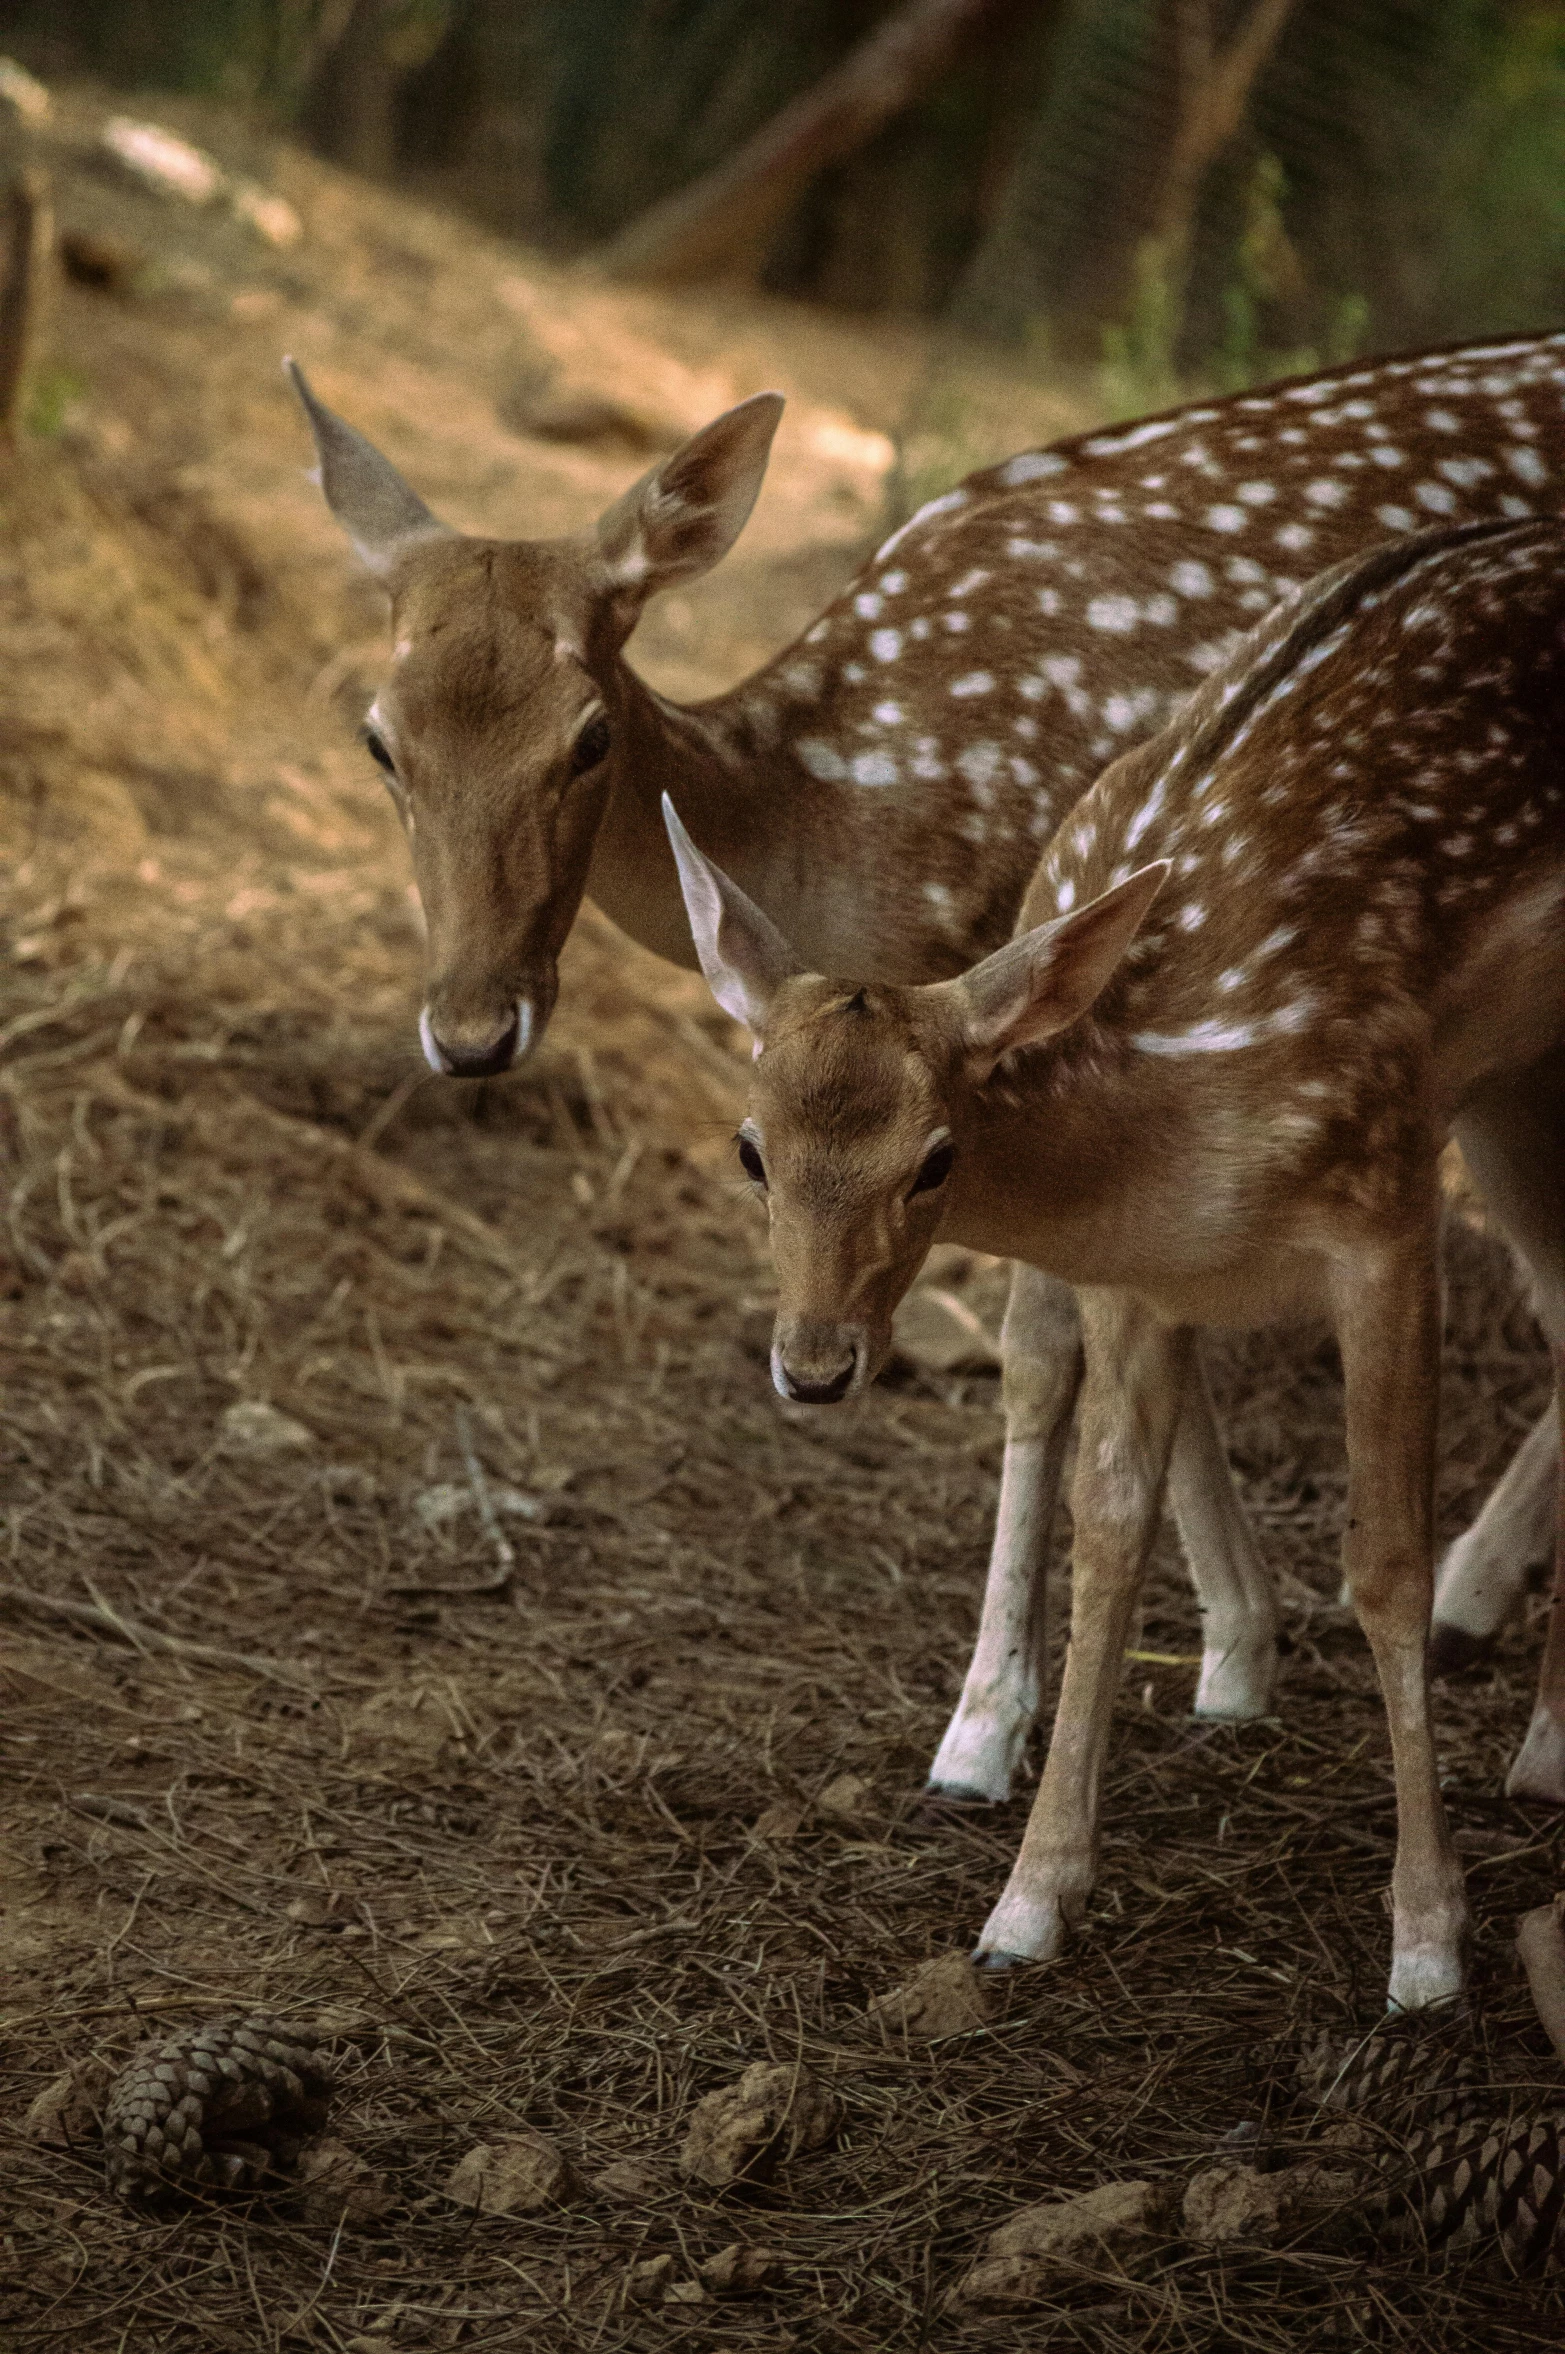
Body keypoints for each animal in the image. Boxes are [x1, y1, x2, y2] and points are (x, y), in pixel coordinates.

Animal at [292, 336, 1562, 1798]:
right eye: (377, 737)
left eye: (589, 735)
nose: (470, 1028)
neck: (841, 837)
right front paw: (1236, 1651)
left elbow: (1040, 1348)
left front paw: (985, 1728)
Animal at [663, 515, 1562, 2005]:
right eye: (748, 1148)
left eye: (934, 1157)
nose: (813, 1362)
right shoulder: (1136, 1283)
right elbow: (1109, 1534)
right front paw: (1026, 1904)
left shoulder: (1383, 1200)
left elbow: (1383, 1562)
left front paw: (1428, 1941)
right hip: (1503, 1097)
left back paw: (1540, 1749)